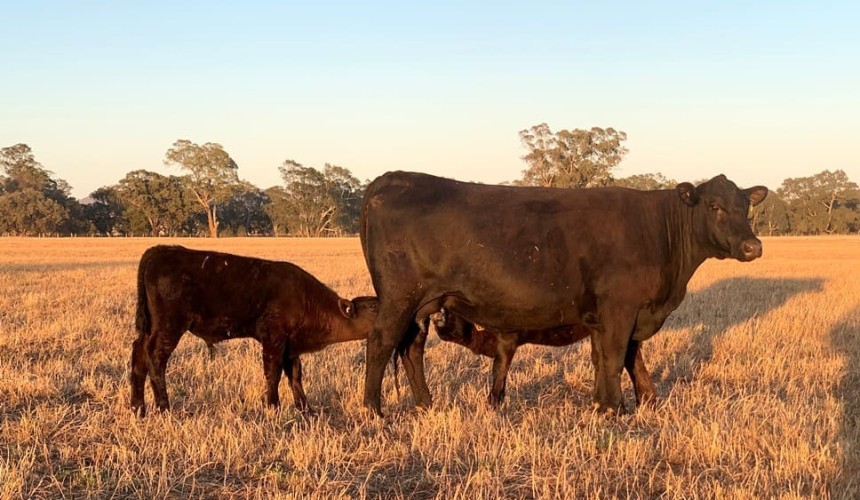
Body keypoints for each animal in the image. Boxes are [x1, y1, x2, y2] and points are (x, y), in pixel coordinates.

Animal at [130, 245, 378, 417]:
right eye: (373, 307)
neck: (306, 298)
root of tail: (159, 251)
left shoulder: (290, 347)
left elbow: (295, 375)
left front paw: (306, 410)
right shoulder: (274, 340)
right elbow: (273, 373)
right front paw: (273, 406)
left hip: (151, 329)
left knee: (139, 356)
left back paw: (138, 408)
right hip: (169, 329)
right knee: (155, 359)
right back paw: (164, 407)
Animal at [361, 172, 767, 416]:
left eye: (746, 206)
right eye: (714, 206)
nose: (753, 247)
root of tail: (391, 179)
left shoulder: (616, 314)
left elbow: (619, 358)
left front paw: (635, 403)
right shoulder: (620, 309)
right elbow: (616, 357)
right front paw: (614, 408)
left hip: (423, 305)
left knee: (411, 349)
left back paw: (426, 405)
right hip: (400, 298)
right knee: (380, 343)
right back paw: (374, 411)